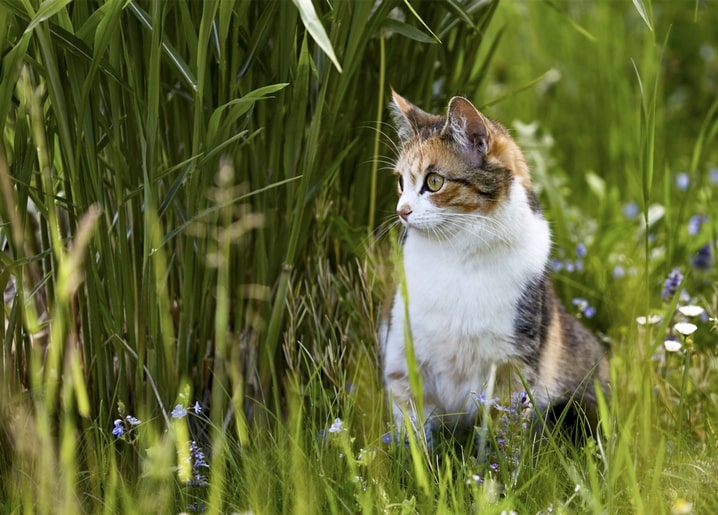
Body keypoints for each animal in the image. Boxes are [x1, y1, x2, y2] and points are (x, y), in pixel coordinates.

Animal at [380, 89, 612, 444]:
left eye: (434, 181)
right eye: (400, 182)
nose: (401, 211)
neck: (456, 256)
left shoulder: (511, 363)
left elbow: (503, 434)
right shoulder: (404, 358)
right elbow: (412, 430)